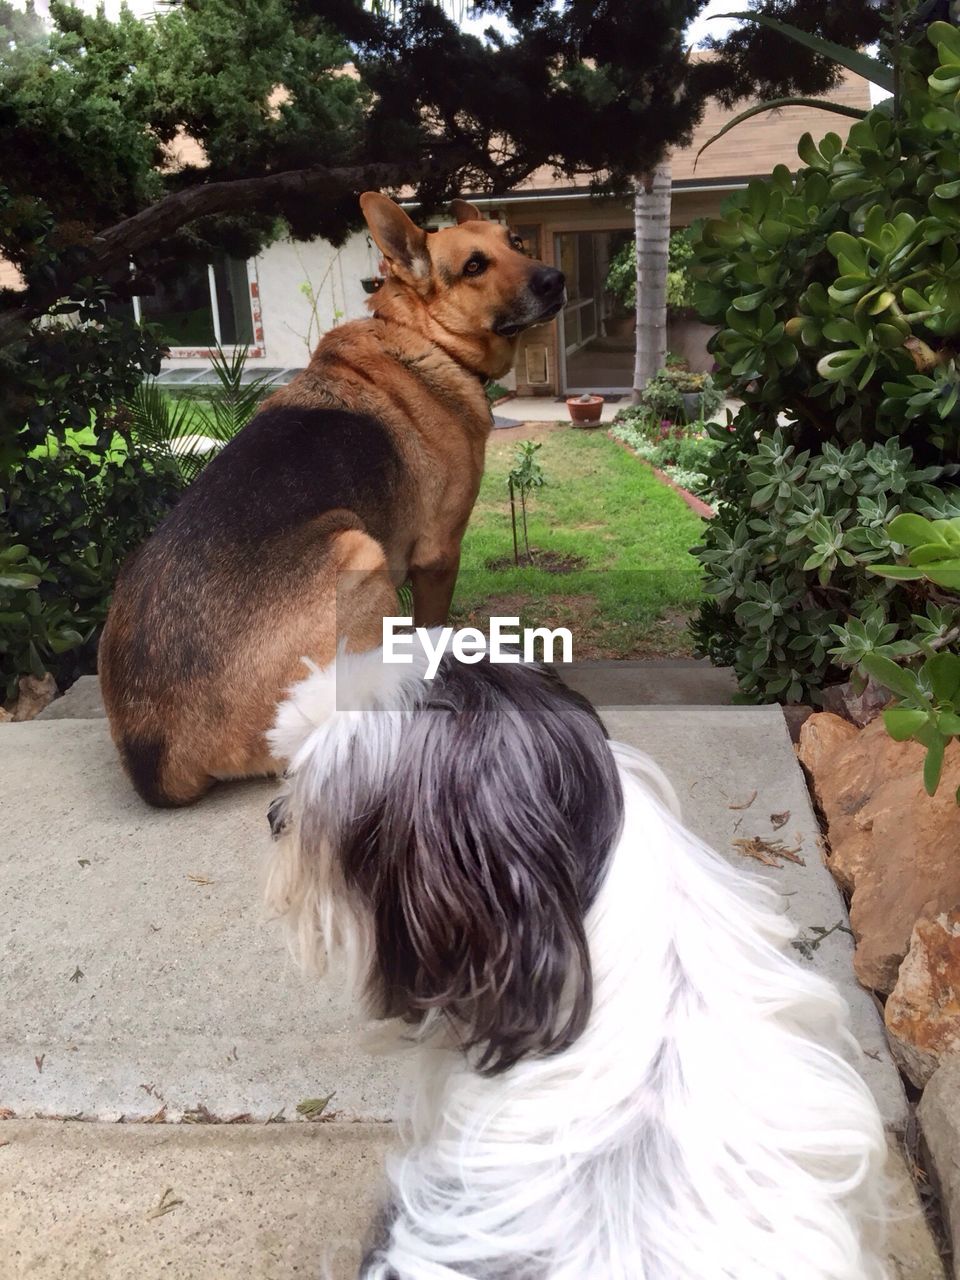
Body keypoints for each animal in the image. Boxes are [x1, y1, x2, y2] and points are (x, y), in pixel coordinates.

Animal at [99, 190, 563, 803]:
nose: (556, 280)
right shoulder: (438, 558)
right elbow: (433, 630)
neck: (421, 335)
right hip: (357, 551)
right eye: (473, 266)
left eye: (516, 242)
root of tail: (156, 759)